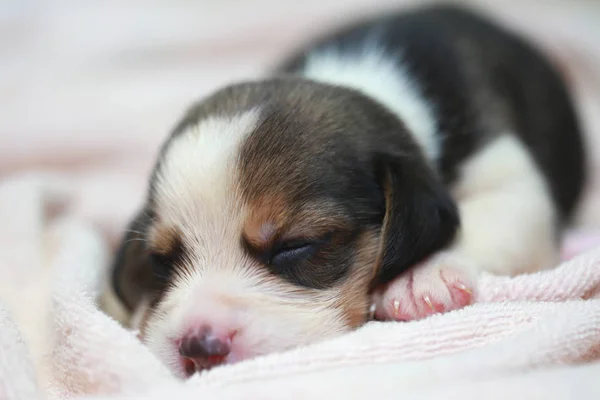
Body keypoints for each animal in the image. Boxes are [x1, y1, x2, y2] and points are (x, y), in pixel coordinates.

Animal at [104, 4, 584, 376]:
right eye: (161, 260)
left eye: (295, 245)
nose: (198, 347)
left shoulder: (508, 174)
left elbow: (495, 217)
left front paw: (423, 276)